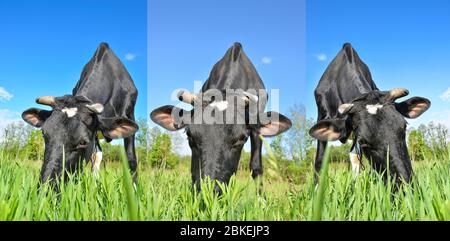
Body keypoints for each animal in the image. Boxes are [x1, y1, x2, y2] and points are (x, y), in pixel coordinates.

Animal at [21, 43, 140, 190]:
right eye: (44, 134)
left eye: (83, 142)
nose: (46, 189)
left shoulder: (129, 113)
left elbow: (131, 158)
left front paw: (135, 191)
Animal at [151, 42, 292, 194]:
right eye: (190, 136)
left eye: (241, 138)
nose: (209, 193)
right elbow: (194, 170)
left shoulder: (256, 128)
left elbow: (256, 167)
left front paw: (261, 198)